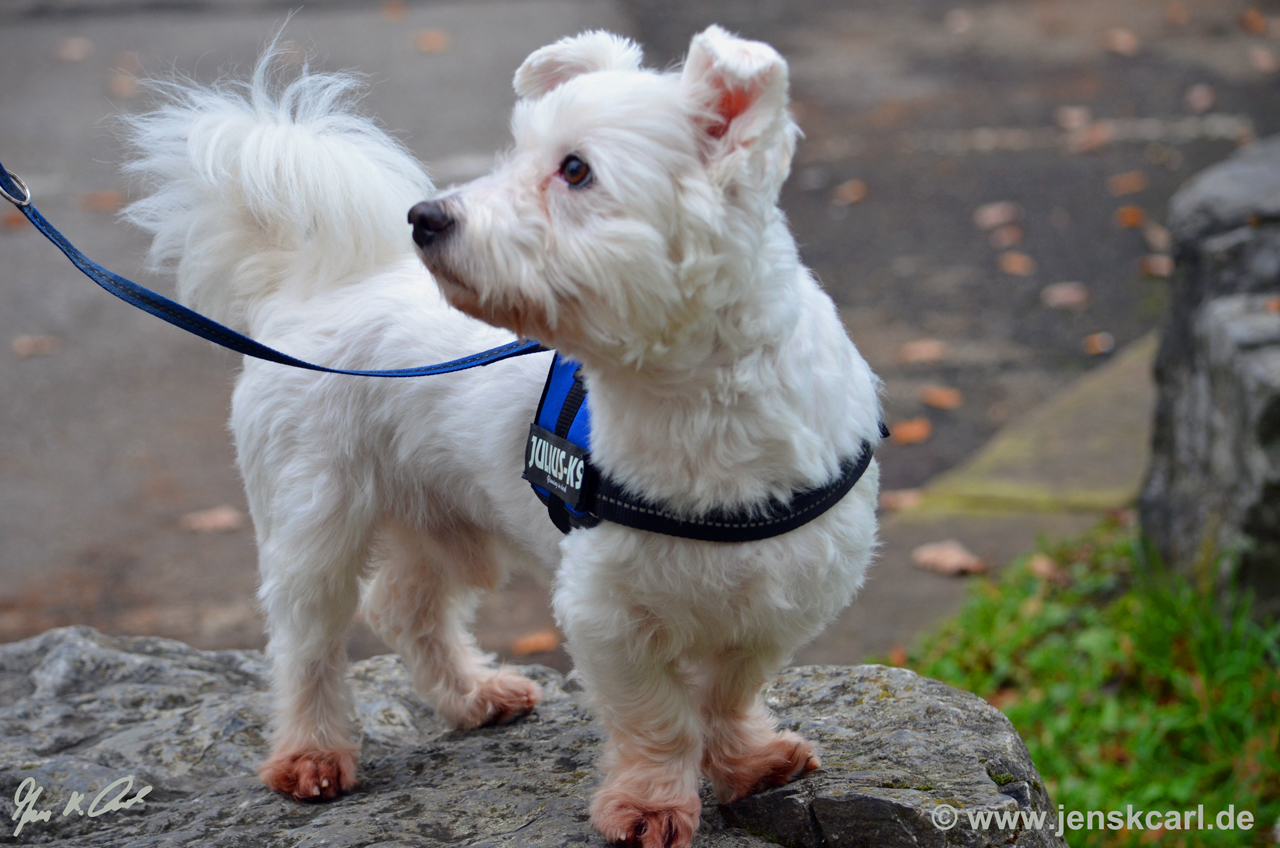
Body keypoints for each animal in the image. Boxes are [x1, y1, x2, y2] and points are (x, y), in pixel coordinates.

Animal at [122, 26, 880, 848]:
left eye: (575, 169)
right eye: (516, 153)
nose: (425, 217)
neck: (692, 401)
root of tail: (310, 288)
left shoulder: (786, 595)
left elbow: (728, 691)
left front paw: (747, 762)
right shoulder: (604, 609)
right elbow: (660, 716)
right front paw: (650, 802)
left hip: (442, 516)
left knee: (403, 606)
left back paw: (471, 694)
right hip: (314, 519)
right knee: (308, 642)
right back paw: (311, 754)